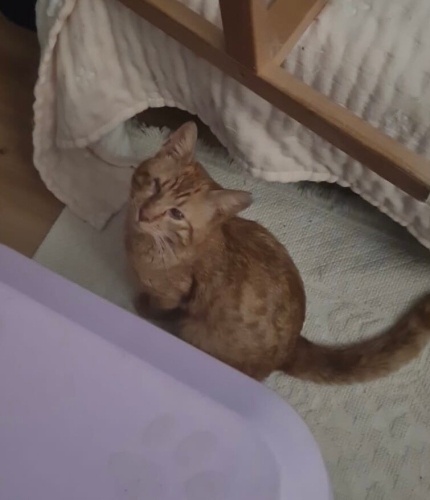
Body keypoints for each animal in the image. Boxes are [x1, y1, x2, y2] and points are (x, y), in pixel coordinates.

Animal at [125, 121, 430, 383]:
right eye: (155, 184)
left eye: (176, 214)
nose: (144, 213)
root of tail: (293, 346)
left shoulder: (173, 297)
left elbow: (159, 307)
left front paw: (142, 306)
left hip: (196, 333)